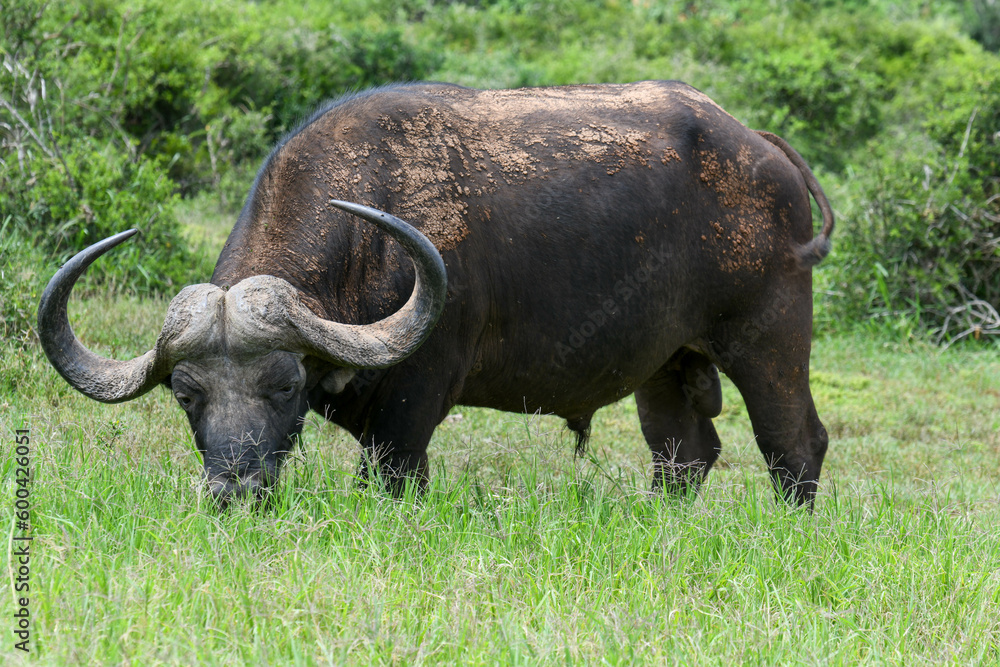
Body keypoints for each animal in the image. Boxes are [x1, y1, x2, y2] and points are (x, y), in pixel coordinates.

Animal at [39, 80, 833, 507]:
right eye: (186, 393)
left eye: (284, 384)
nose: (234, 490)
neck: (366, 241)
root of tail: (755, 145)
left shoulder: (412, 406)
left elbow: (391, 477)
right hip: (666, 363)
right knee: (683, 453)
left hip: (771, 335)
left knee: (794, 444)